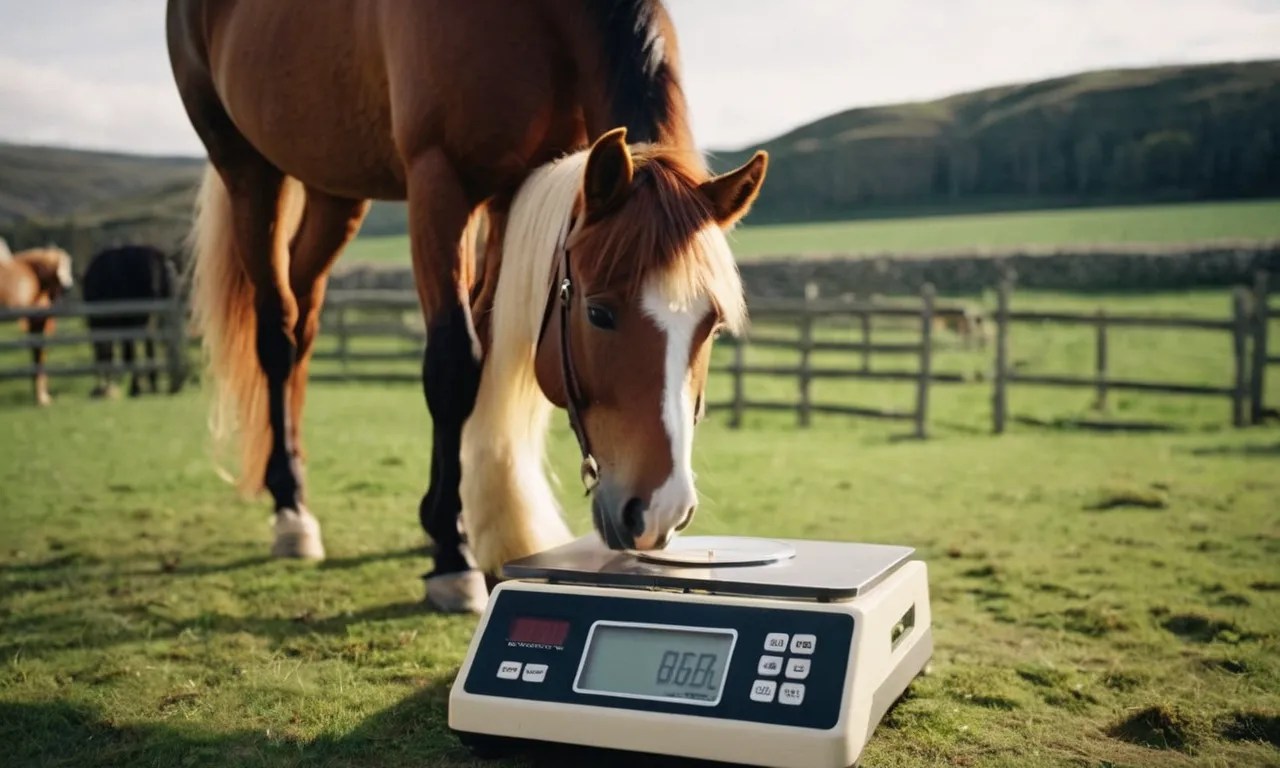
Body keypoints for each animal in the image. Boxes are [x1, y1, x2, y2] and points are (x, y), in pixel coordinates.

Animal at [0, 245, 74, 405]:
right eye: (62, 267)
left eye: (68, 267)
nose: (68, 287)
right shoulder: (37, 321)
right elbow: (39, 355)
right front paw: (42, 398)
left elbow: (37, 355)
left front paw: (40, 396)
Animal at [167, 0, 767, 613]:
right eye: (599, 312)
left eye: (712, 326)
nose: (661, 511)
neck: (540, 19)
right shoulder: (439, 181)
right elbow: (455, 364)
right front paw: (451, 554)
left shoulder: (512, 191)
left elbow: (487, 345)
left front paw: (471, 521)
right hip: (248, 170)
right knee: (277, 334)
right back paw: (290, 510)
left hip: (334, 189)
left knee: (304, 312)